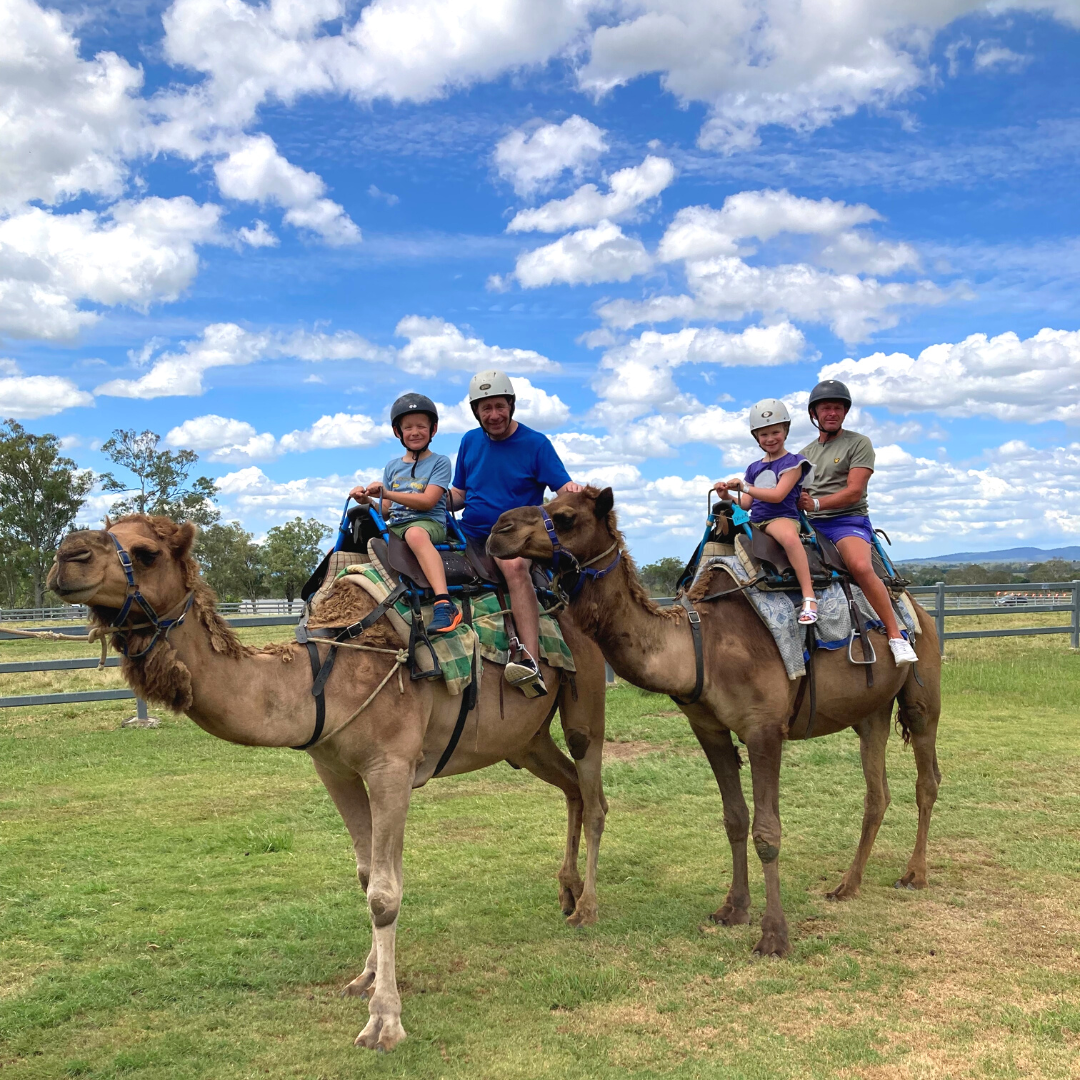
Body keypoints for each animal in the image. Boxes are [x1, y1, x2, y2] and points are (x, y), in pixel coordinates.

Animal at [48, 518, 609, 1049]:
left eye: (146, 552)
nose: (65, 557)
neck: (324, 673)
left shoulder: (391, 767)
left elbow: (384, 893)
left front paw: (384, 1022)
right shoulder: (334, 768)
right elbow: (366, 876)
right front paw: (366, 978)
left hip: (585, 698)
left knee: (595, 795)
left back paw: (586, 909)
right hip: (525, 740)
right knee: (571, 789)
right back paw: (567, 891)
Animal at [486, 488, 941, 954]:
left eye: (565, 516)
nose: (498, 530)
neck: (699, 641)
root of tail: (914, 605)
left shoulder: (764, 729)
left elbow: (767, 832)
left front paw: (774, 936)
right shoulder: (709, 729)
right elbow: (734, 819)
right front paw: (733, 910)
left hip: (923, 690)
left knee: (926, 778)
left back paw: (914, 874)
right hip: (871, 711)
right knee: (877, 792)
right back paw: (847, 885)